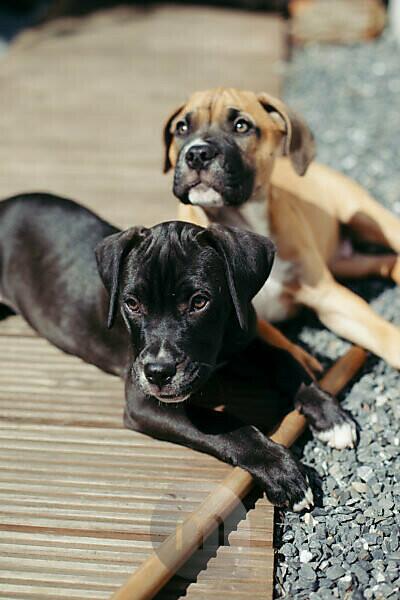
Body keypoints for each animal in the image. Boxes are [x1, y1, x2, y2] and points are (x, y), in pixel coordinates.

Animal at [0, 193, 356, 510]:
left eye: (199, 301)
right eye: (132, 303)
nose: (158, 373)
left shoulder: (244, 341)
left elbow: (285, 361)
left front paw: (330, 414)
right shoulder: (143, 400)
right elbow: (226, 425)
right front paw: (282, 470)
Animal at [162, 89, 400, 370]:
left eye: (241, 126)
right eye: (182, 128)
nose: (197, 154)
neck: (240, 218)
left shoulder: (329, 296)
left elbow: (380, 331)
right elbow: (275, 338)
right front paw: (304, 361)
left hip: (367, 217)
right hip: (347, 263)